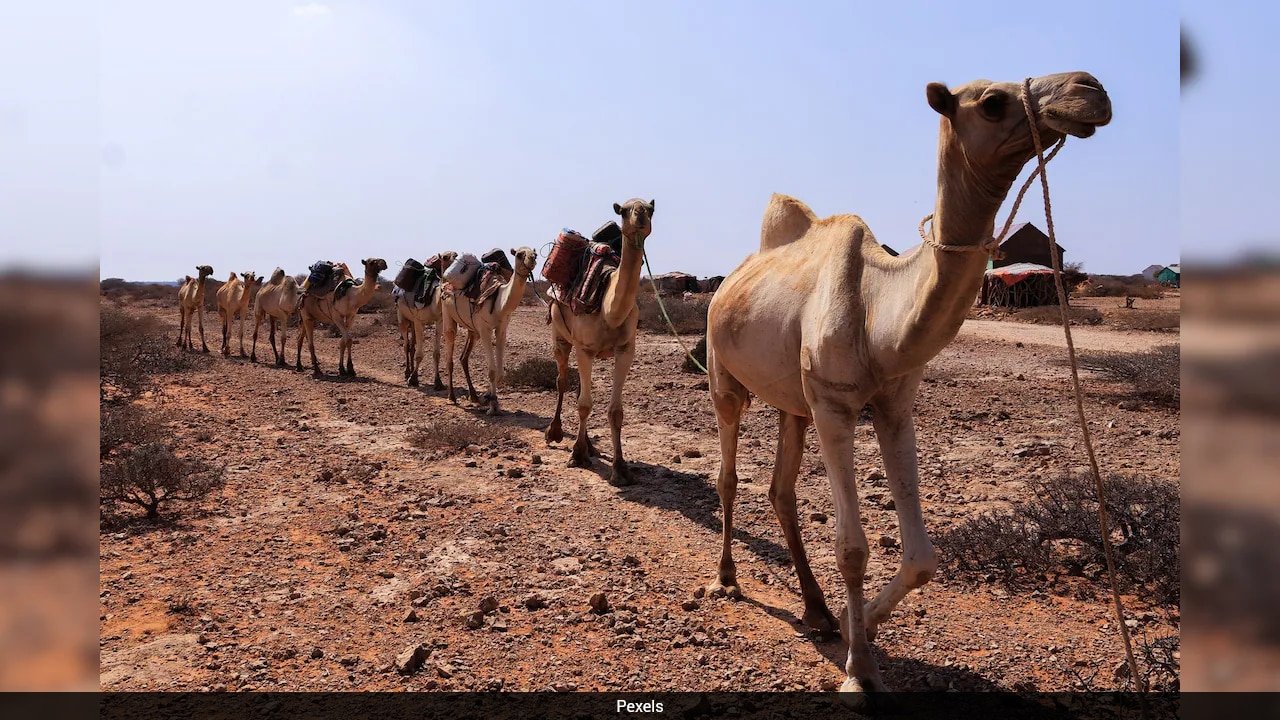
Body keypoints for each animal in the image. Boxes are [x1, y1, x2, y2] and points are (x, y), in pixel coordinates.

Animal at [396, 251, 458, 388]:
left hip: (412, 321)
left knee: (412, 346)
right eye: (445, 257)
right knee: (406, 345)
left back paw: (412, 372)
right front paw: (412, 379)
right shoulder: (420, 321)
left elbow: (436, 354)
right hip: (402, 317)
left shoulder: (439, 321)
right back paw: (407, 373)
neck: (435, 300)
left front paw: (438, 382)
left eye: (457, 255)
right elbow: (419, 354)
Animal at [440, 247, 538, 415]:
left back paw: (474, 396)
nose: (532, 259)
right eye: (519, 254)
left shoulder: (502, 329)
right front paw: (492, 407)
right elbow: (492, 371)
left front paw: (487, 398)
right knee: (449, 356)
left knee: (463, 357)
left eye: (535, 253)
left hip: (472, 329)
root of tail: (445, 283)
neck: (499, 301)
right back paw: (451, 397)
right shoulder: (484, 329)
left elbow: (500, 372)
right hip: (448, 316)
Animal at [544, 199, 654, 487]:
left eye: (651, 209)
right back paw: (555, 432)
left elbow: (615, 411)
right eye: (623, 210)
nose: (640, 215)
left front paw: (621, 469)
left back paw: (591, 446)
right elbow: (584, 404)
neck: (607, 308)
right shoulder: (585, 348)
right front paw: (577, 455)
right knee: (562, 381)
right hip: (560, 336)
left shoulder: (626, 349)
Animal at [703, 72, 1111, 700]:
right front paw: (860, 670)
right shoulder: (836, 406)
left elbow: (922, 557)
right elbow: (851, 548)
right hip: (727, 377)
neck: (880, 313)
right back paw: (727, 578)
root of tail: (728, 281)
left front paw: (857, 627)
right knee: (727, 472)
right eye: (992, 102)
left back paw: (817, 610)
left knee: (781, 490)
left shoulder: (894, 406)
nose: (1090, 90)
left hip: (794, 401)